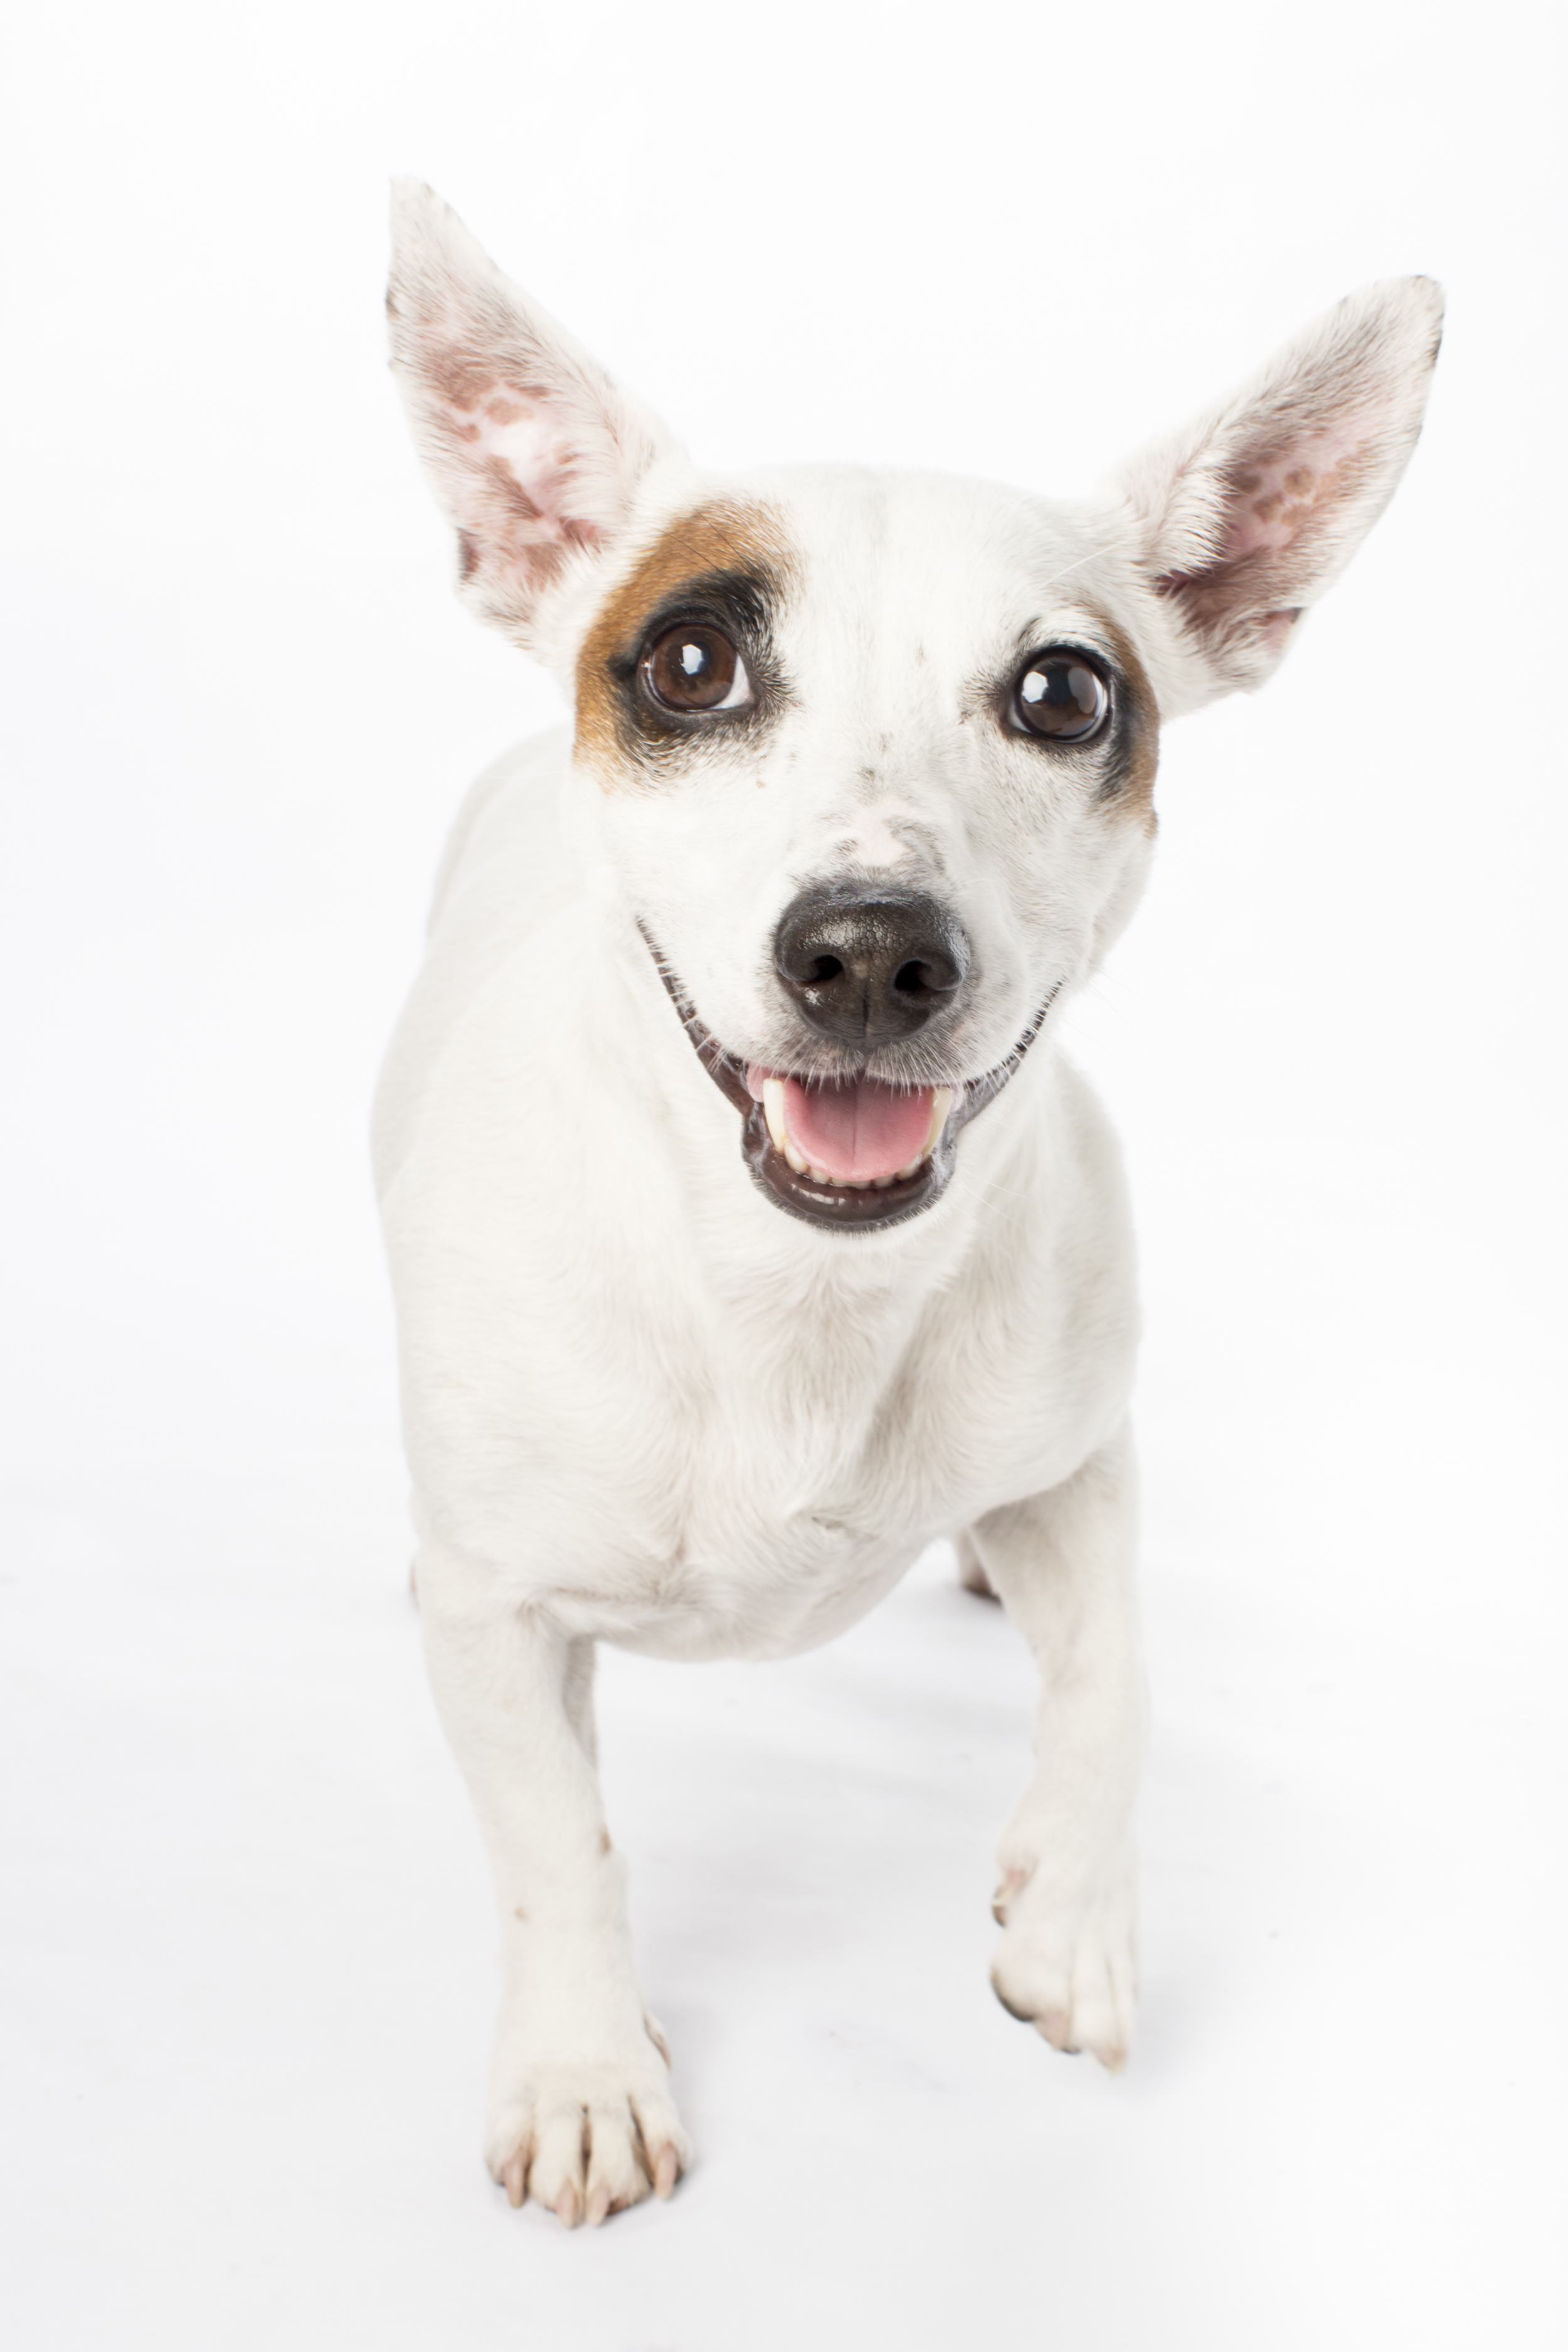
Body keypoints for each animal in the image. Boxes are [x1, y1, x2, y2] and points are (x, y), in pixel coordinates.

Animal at [373, 183, 1438, 2220]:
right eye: (688, 665)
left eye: (1063, 690)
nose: (872, 949)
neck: (791, 1299)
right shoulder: (483, 1612)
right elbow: (561, 1845)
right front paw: (583, 2068)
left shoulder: (1076, 1462)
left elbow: (1117, 1679)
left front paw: (1073, 1924)